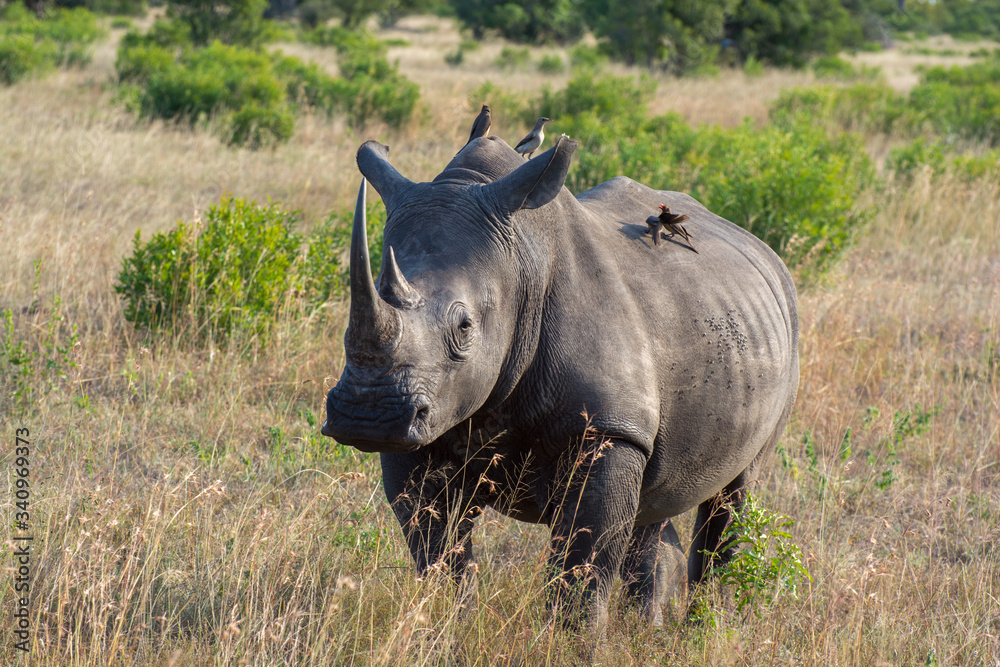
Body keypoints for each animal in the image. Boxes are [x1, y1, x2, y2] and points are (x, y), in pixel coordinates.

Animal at [322, 130, 799, 630]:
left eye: (465, 327)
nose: (367, 417)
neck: (521, 264)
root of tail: (764, 252)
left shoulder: (608, 429)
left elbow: (582, 561)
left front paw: (571, 638)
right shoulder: (422, 429)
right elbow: (437, 549)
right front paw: (449, 626)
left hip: (779, 328)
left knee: (733, 495)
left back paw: (703, 629)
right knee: (655, 506)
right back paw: (649, 629)